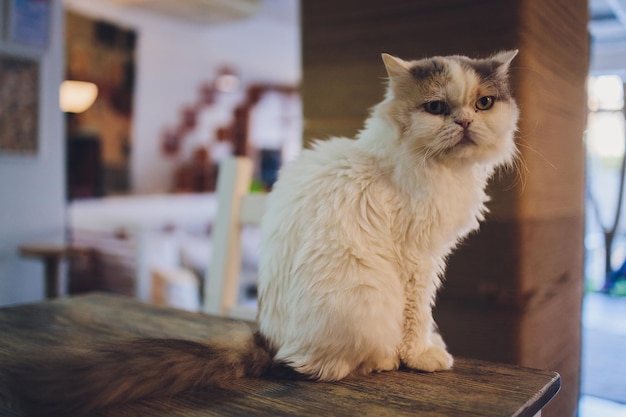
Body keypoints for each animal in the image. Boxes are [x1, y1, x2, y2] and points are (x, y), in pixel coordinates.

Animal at [11, 50, 516, 414]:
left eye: (483, 103)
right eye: (436, 108)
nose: (464, 121)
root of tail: (269, 341)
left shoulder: (431, 257)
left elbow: (425, 318)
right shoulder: (418, 260)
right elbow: (418, 318)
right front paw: (424, 355)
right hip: (368, 300)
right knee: (329, 367)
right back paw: (382, 360)